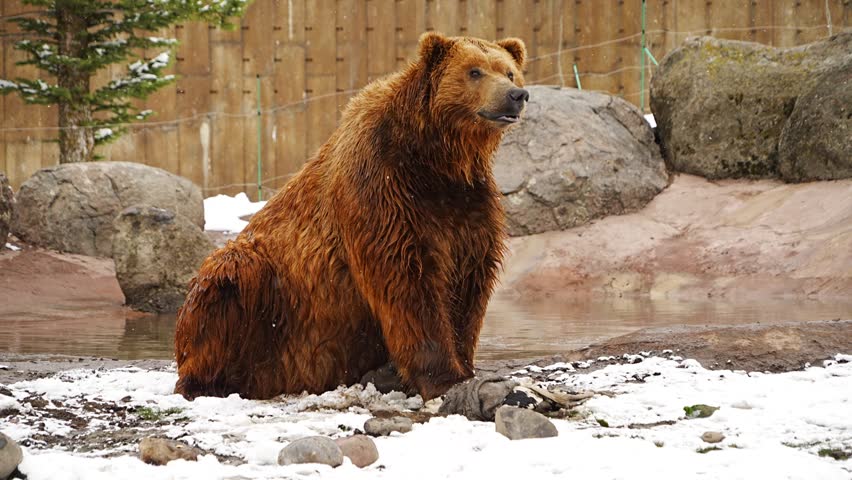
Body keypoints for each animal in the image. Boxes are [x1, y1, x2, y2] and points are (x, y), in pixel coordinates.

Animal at [174, 32, 529, 401]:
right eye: (474, 71)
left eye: (509, 71)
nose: (515, 95)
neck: (437, 158)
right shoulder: (383, 187)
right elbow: (408, 280)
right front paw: (444, 375)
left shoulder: (467, 205)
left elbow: (468, 281)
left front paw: (464, 364)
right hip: (266, 294)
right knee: (231, 278)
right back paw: (209, 382)